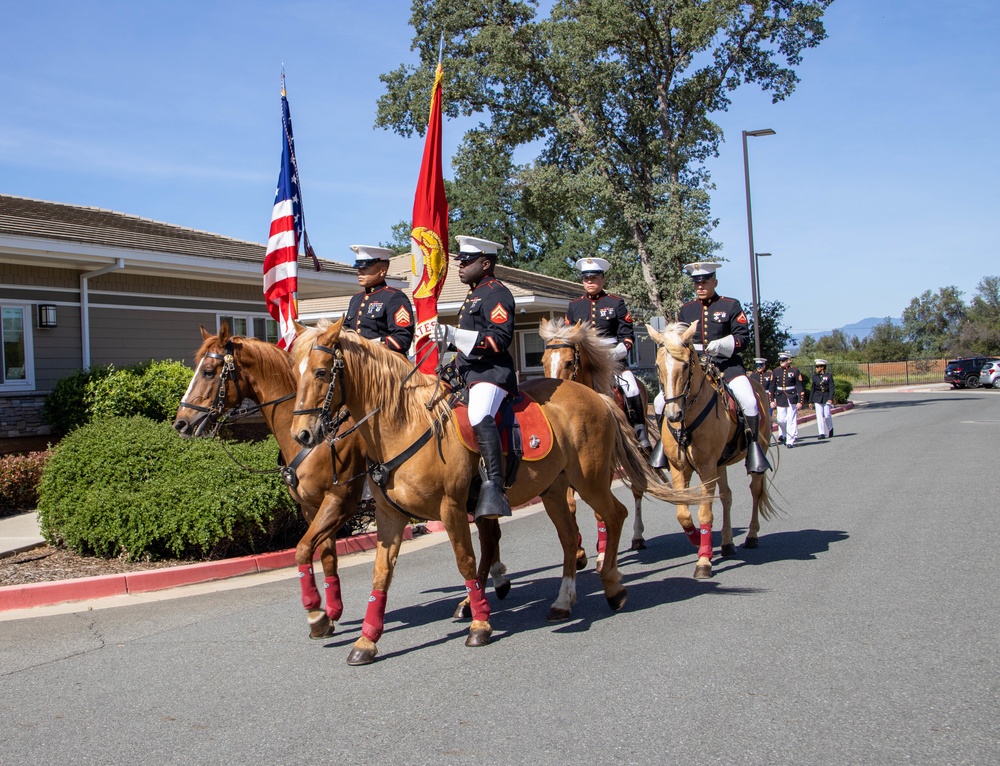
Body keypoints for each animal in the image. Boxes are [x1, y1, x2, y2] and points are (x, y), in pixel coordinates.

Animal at [173, 324, 512, 640]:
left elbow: (303, 548)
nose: (181, 423)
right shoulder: (311, 508)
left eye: (208, 371)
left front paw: (316, 612)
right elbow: (325, 555)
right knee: (490, 534)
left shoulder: (339, 502)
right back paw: (493, 584)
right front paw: (331, 610)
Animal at [544, 318, 652, 564]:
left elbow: (599, 510)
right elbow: (571, 505)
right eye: (542, 361)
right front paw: (578, 551)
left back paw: (638, 536)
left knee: (638, 489)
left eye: (569, 362)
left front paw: (602, 551)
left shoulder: (603, 466)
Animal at [644, 320, 776, 580]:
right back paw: (726, 543)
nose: (673, 414)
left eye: (686, 365)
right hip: (719, 465)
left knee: (755, 491)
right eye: (658, 365)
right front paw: (697, 540)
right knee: (726, 496)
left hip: (753, 454)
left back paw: (751, 536)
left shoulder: (706, 468)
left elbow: (705, 512)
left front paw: (704, 561)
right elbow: (683, 513)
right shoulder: (680, 468)